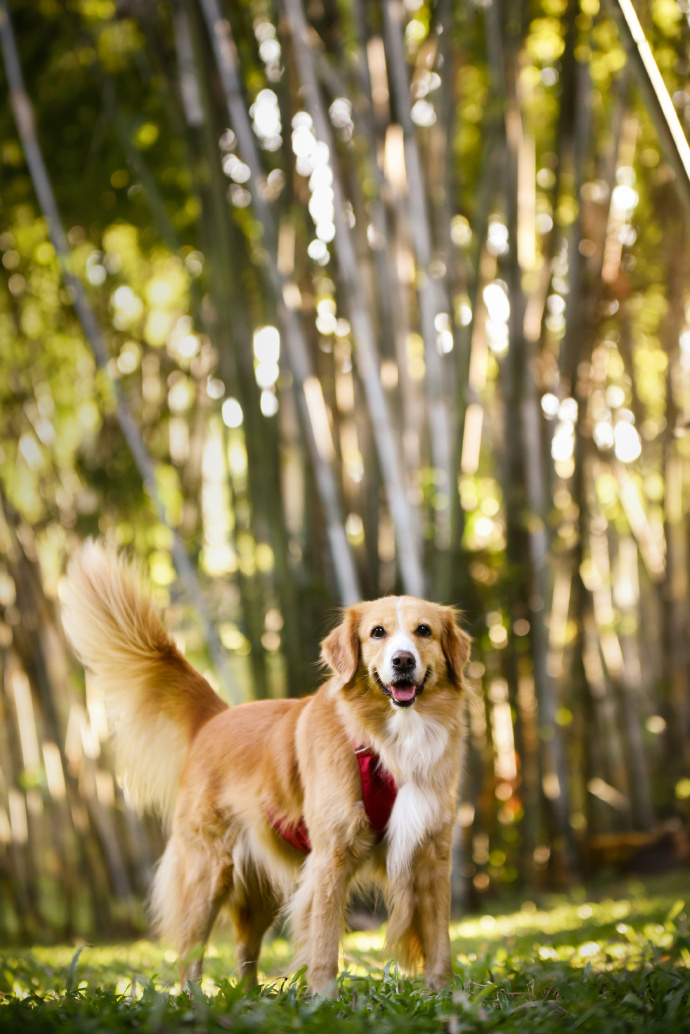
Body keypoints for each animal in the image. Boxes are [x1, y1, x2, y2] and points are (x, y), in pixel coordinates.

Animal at [62, 541, 471, 992]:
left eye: (424, 631)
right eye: (377, 633)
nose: (402, 661)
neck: (389, 739)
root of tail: (216, 716)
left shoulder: (432, 855)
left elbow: (439, 942)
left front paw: (445, 995)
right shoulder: (330, 857)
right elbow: (324, 944)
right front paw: (324, 997)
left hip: (259, 889)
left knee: (246, 951)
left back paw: (247, 997)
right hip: (206, 873)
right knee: (189, 954)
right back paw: (194, 999)